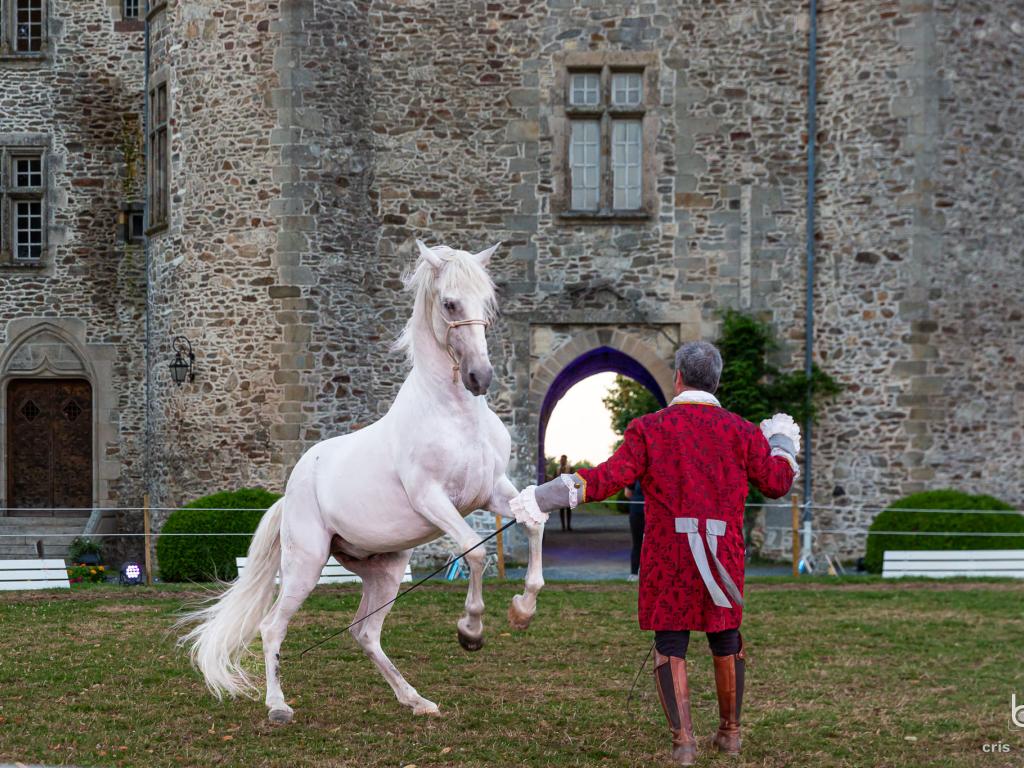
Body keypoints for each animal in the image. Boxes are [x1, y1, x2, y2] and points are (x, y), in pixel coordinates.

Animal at [178, 241, 544, 729]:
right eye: (450, 303)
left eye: (488, 303)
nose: (479, 378)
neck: (456, 417)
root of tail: (289, 492)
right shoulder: (433, 498)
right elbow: (477, 551)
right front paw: (471, 631)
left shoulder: (493, 490)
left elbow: (535, 523)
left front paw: (523, 612)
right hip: (306, 565)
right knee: (273, 627)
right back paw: (278, 706)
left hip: (384, 571)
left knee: (365, 633)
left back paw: (416, 700)